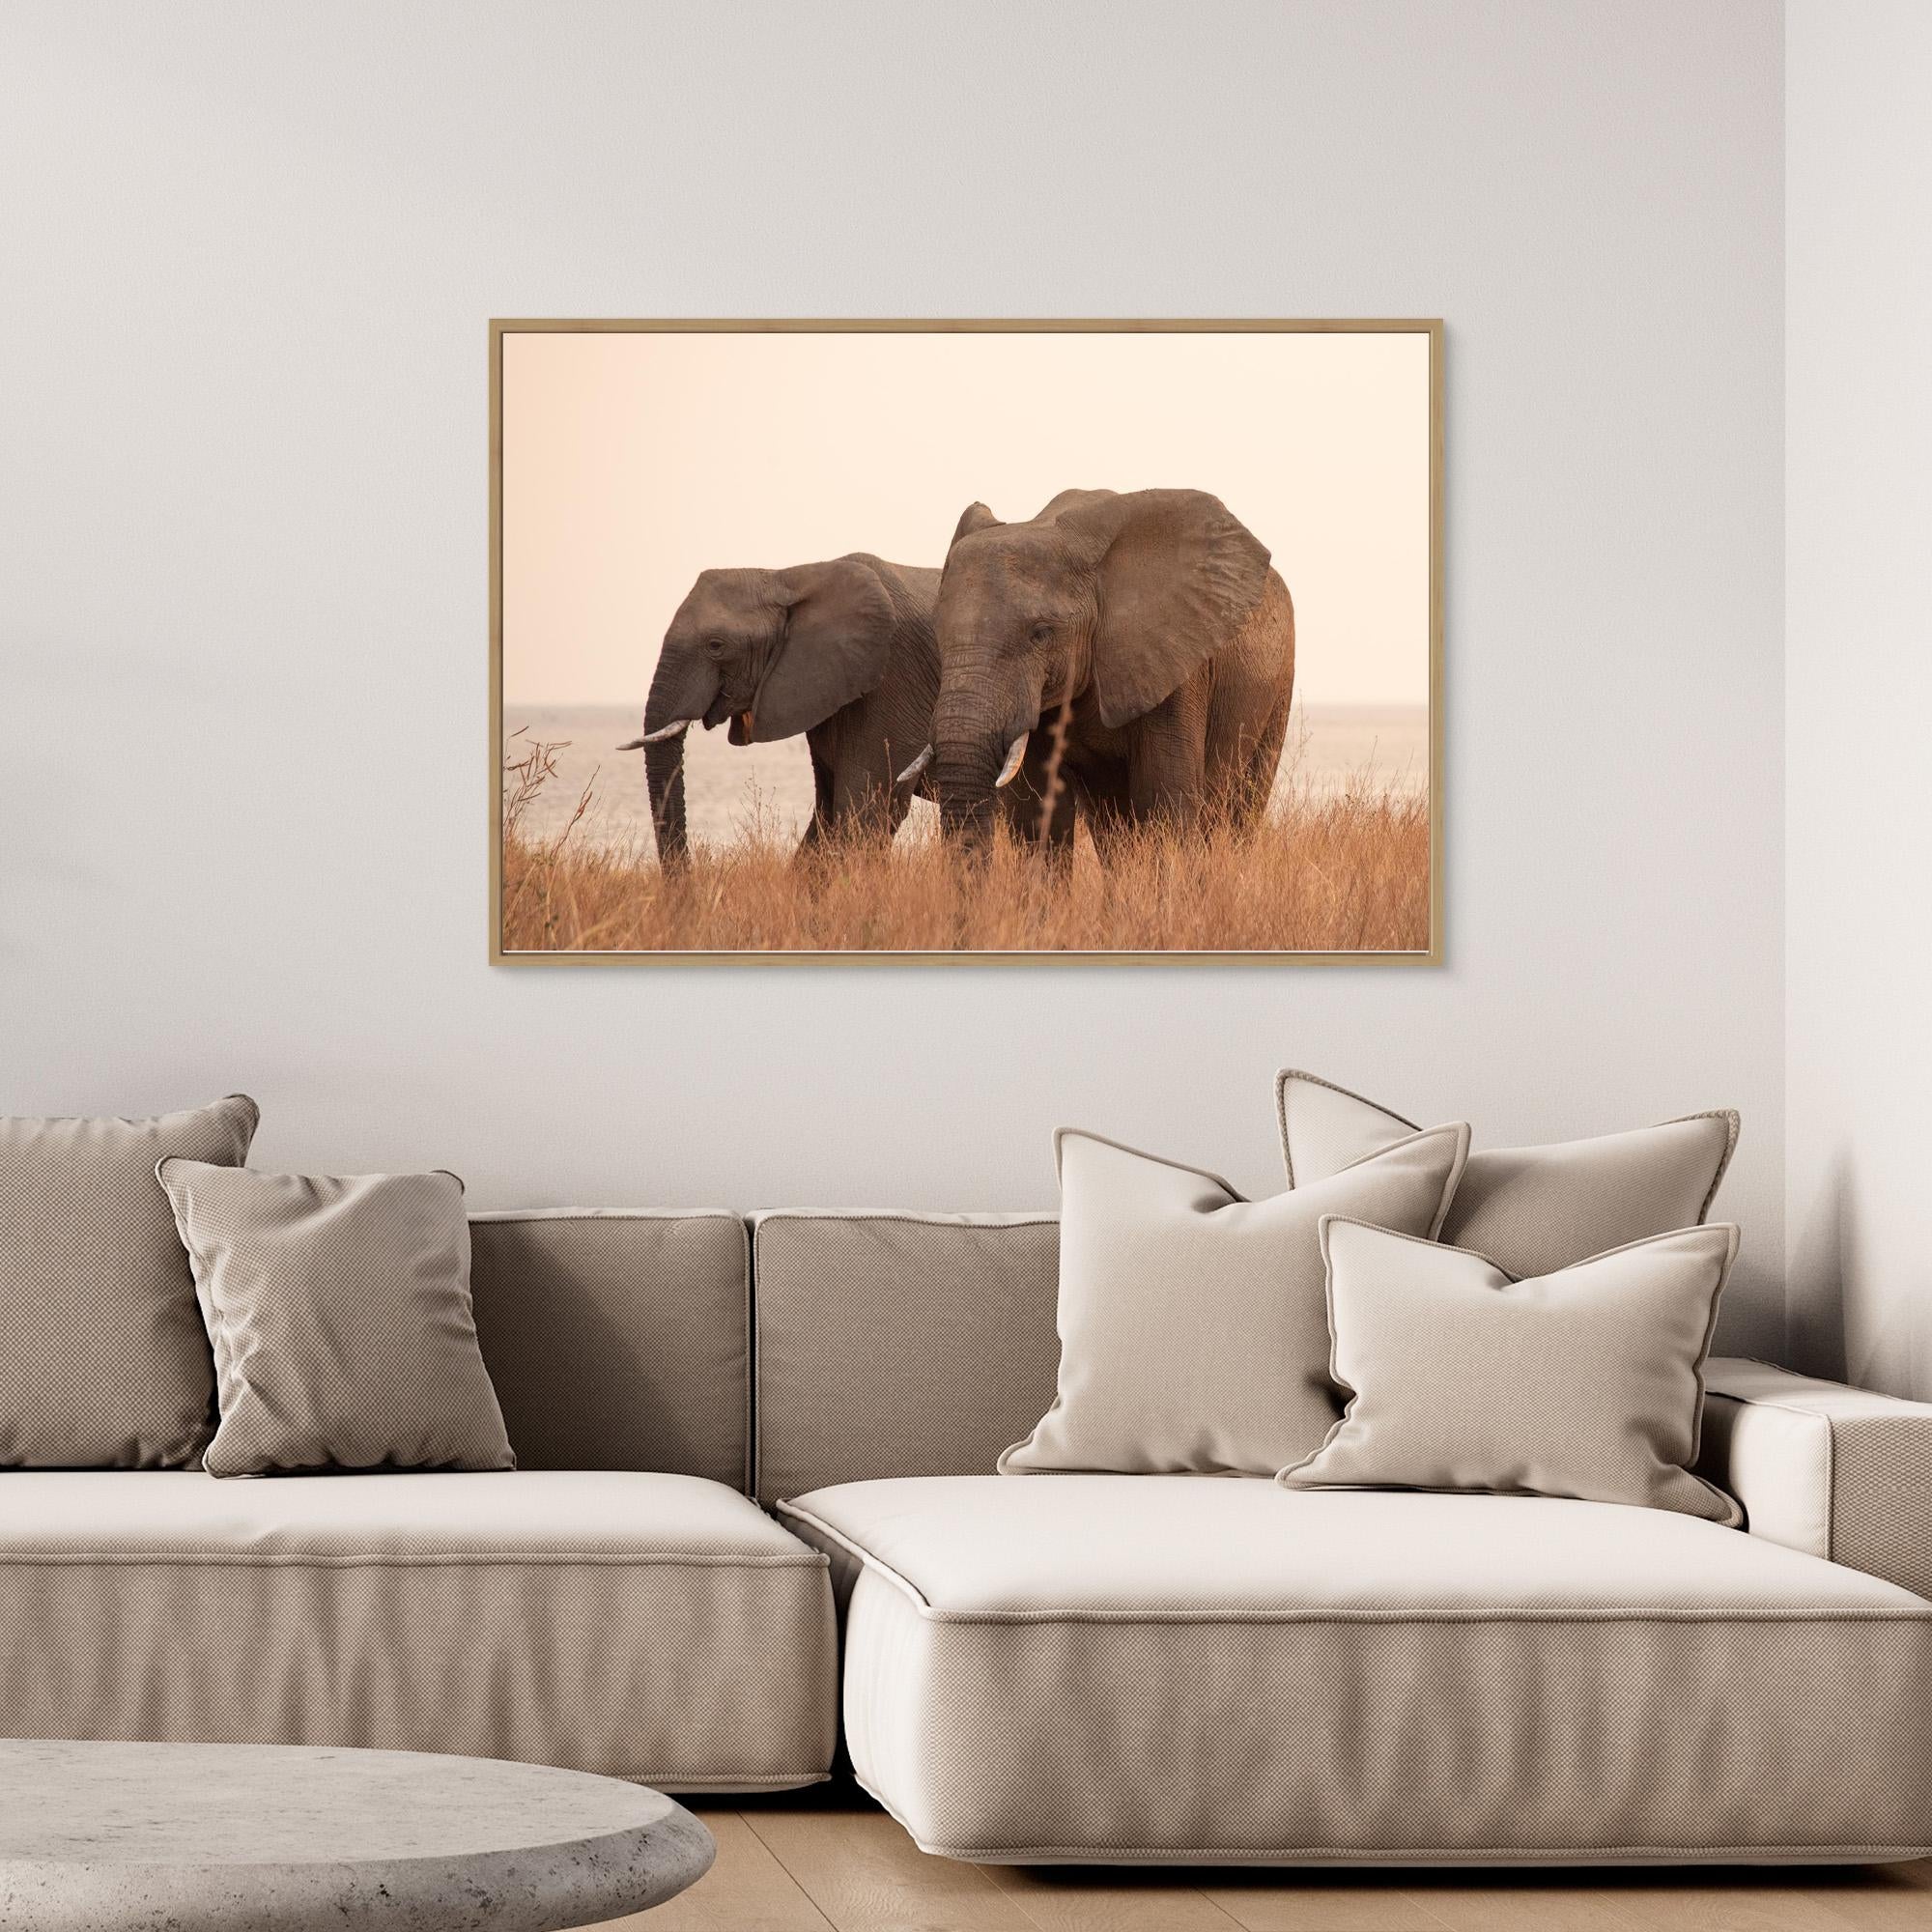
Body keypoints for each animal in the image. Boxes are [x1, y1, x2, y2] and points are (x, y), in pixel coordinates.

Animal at [910, 488, 1295, 852]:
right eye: (937, 629)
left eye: (1041, 634)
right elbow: (1036, 812)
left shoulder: (1175, 666)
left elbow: (1165, 802)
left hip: (1279, 685)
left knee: (1242, 806)